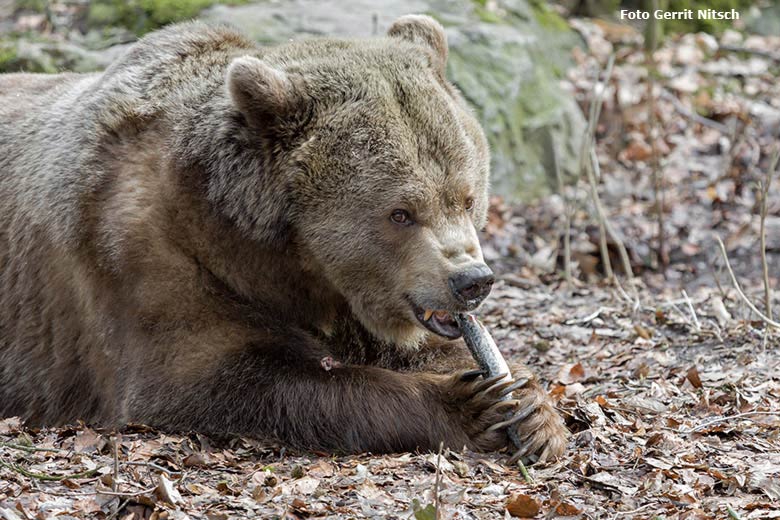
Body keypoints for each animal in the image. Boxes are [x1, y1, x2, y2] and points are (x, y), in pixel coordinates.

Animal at [0, 14, 564, 462]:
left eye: (466, 197)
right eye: (401, 213)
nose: (472, 280)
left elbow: (435, 347)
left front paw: (530, 406)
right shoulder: (145, 256)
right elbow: (216, 377)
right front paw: (470, 406)